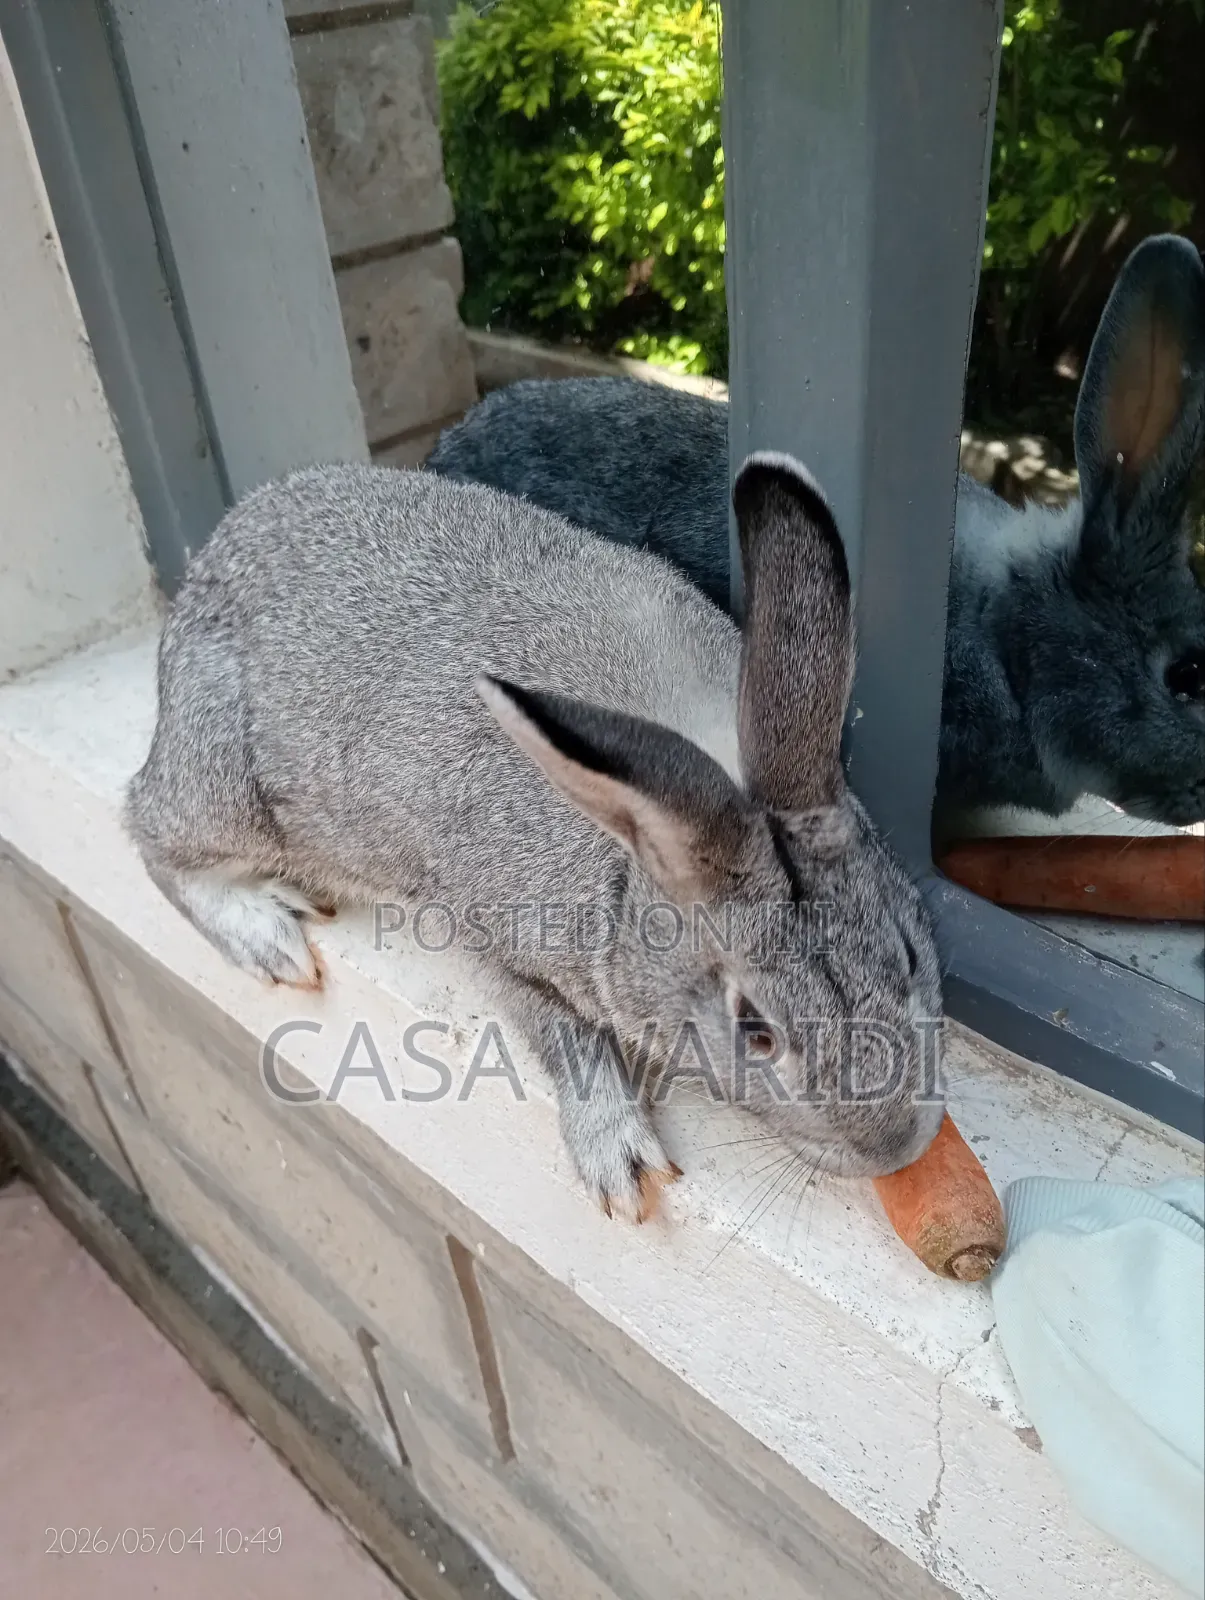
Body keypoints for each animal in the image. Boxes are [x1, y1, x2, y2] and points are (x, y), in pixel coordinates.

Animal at [125, 453, 945, 1221]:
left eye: (907, 953)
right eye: (755, 1030)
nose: (896, 1145)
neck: (633, 864)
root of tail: (207, 566)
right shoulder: (498, 945)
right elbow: (563, 1040)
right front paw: (624, 1166)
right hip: (231, 790)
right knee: (148, 830)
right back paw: (269, 937)